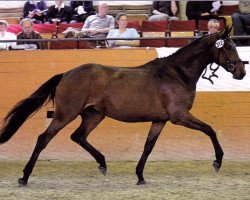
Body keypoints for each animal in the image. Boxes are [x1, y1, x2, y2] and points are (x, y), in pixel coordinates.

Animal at [0, 27, 246, 186]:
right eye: (229, 46)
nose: (241, 72)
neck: (177, 73)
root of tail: (66, 74)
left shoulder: (160, 120)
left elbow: (148, 146)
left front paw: (140, 176)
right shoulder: (179, 115)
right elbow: (210, 130)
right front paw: (217, 161)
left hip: (94, 115)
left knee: (78, 136)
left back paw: (102, 164)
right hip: (65, 114)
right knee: (44, 139)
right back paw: (24, 177)